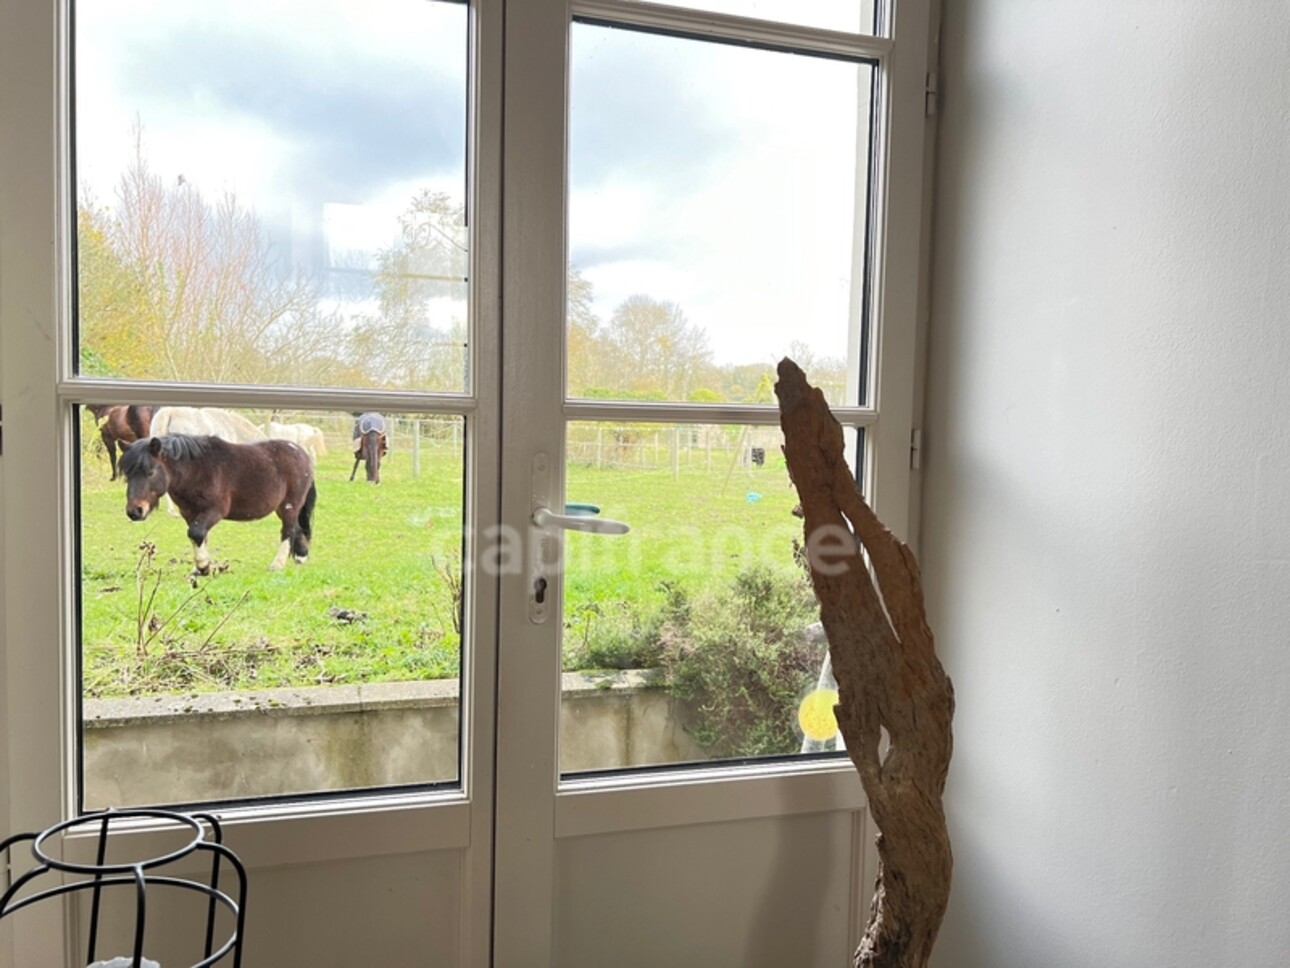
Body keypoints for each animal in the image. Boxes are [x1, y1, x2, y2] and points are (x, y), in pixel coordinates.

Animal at [121, 433, 317, 575]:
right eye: (127, 474)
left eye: (150, 472)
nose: (135, 511)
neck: (197, 471)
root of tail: (302, 454)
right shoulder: (190, 513)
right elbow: (199, 536)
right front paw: (200, 568)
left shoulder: (215, 511)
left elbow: (196, 532)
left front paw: (203, 566)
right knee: (298, 529)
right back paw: (301, 558)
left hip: (290, 505)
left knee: (288, 531)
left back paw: (277, 564)